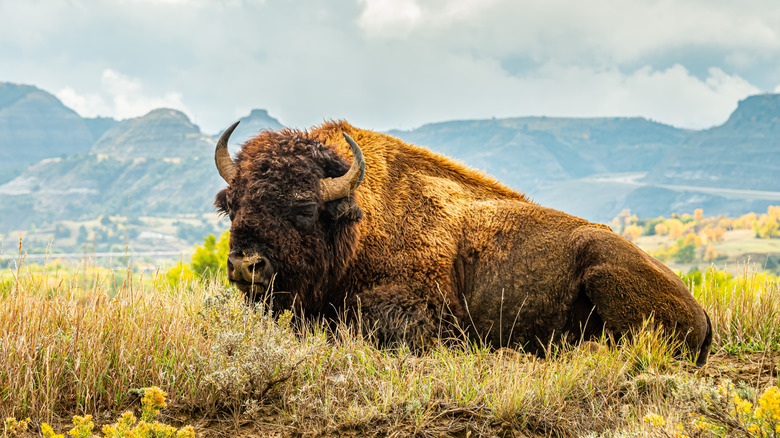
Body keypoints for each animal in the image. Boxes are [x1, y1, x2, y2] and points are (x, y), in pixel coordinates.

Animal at [213, 120, 712, 365]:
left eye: (302, 207)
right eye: (232, 205)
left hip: (602, 268)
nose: (244, 265)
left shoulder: (419, 310)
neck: (359, 219)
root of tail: (702, 311)